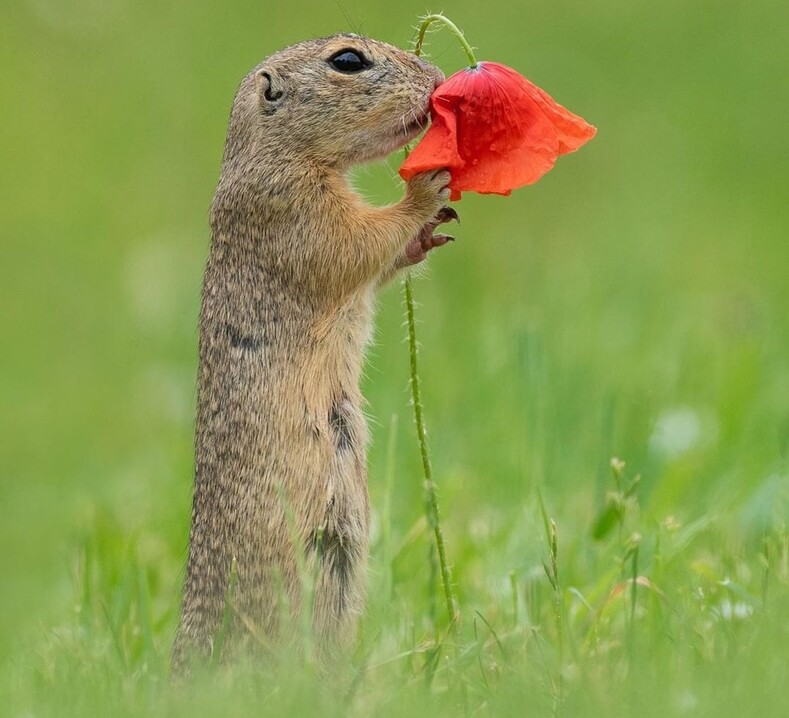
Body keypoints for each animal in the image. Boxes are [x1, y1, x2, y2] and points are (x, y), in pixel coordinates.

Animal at [172, 33, 456, 676]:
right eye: (348, 60)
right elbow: (357, 243)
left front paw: (429, 234)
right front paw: (426, 189)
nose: (436, 76)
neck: (276, 154)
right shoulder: (295, 211)